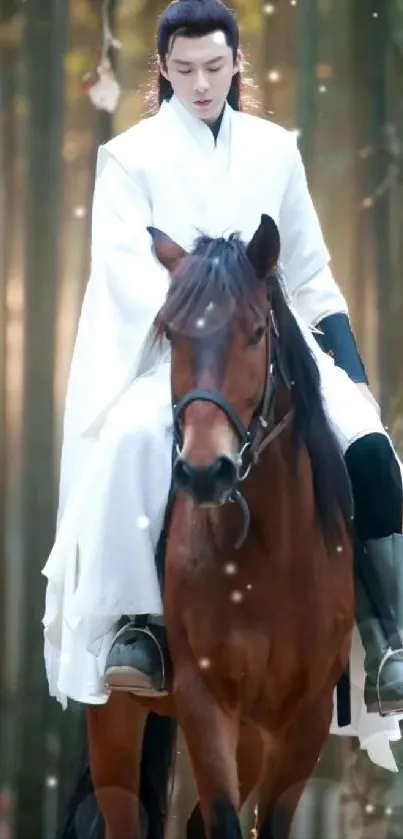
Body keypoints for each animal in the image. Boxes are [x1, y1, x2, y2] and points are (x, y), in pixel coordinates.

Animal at [58, 217, 356, 839]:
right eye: (173, 334)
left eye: (255, 332)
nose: (203, 471)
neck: (271, 551)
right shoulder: (205, 702)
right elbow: (222, 817)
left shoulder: (306, 717)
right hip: (116, 719)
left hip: (252, 736)